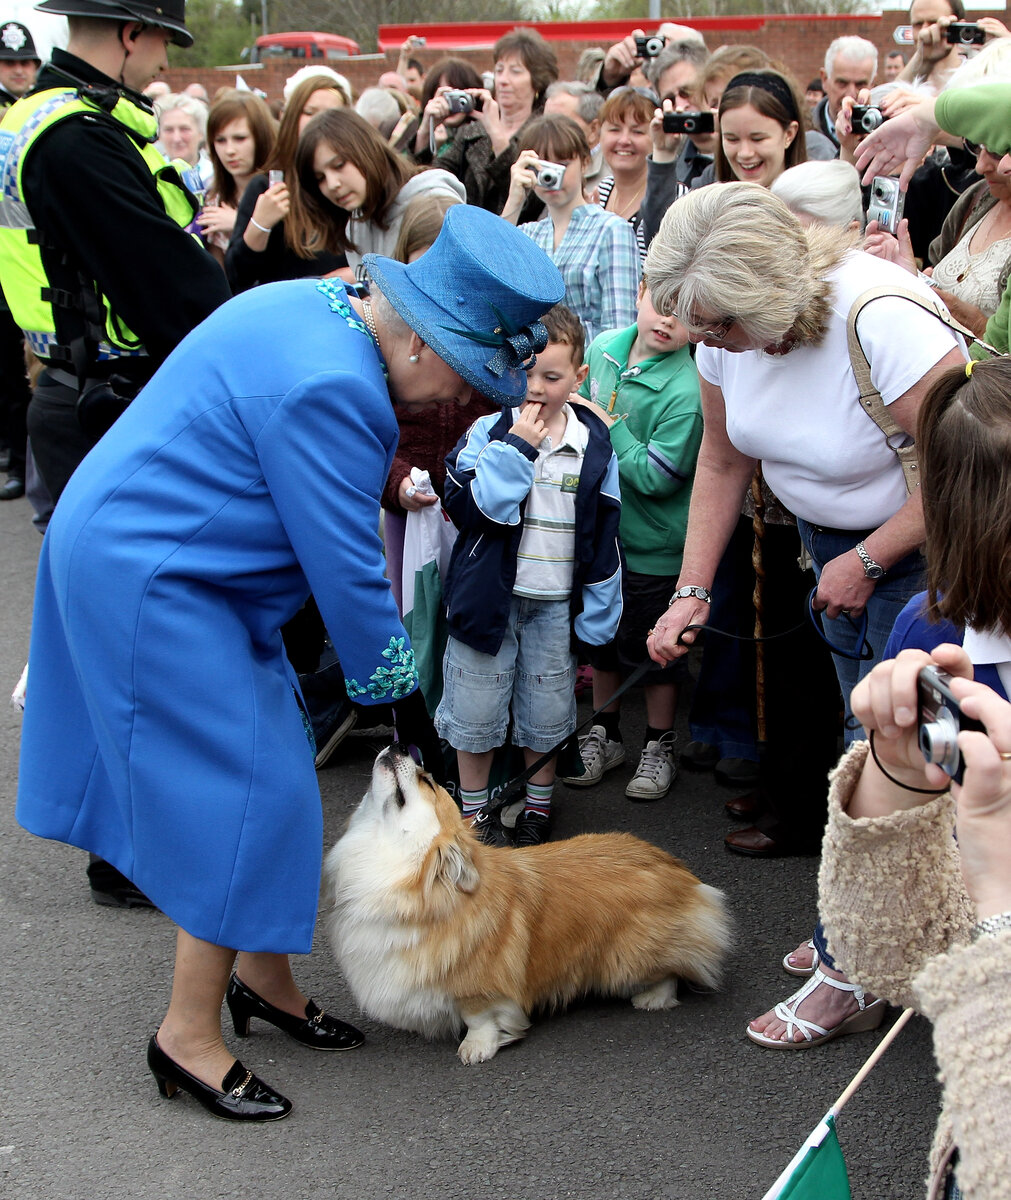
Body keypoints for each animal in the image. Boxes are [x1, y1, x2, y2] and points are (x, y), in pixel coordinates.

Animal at [326, 744, 730, 1065]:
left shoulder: (478, 987)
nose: (398, 746)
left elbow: (479, 1018)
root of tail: (679, 870)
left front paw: (477, 1048)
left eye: (427, 780)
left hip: (627, 960)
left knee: (674, 970)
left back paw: (653, 998)